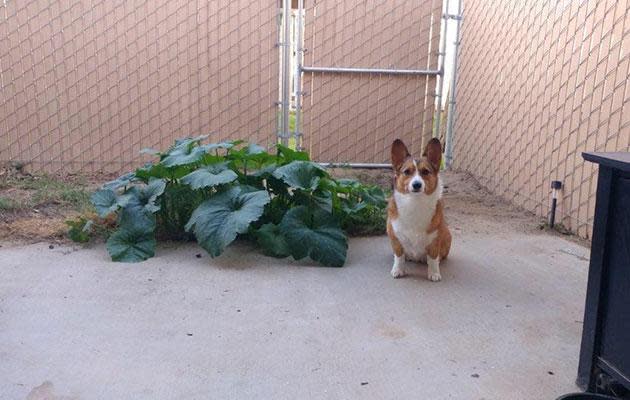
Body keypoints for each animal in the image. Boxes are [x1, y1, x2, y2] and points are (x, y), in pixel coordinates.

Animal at [388, 138, 452, 282]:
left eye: (426, 172)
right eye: (407, 172)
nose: (417, 184)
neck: (415, 202)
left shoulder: (435, 239)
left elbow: (433, 259)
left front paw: (434, 273)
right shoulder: (395, 237)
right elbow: (399, 256)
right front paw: (398, 270)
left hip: (447, 235)